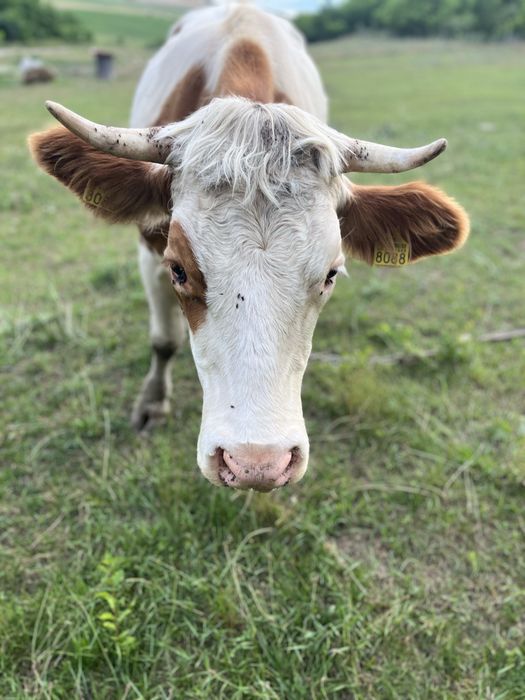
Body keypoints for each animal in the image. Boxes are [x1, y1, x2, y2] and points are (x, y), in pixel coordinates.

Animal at [29, 3, 469, 492]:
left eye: (331, 274)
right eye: (178, 269)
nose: (257, 463)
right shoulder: (148, 250)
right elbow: (163, 340)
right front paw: (153, 403)